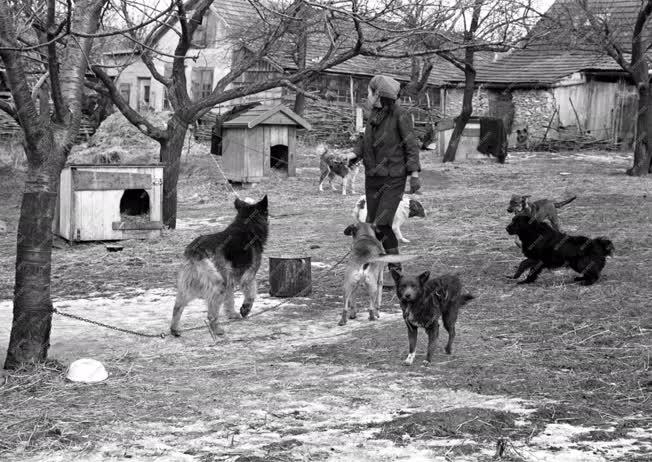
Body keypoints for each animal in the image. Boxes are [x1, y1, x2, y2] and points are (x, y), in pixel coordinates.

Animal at [171, 195, 270, 336]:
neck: (246, 224)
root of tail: (195, 250)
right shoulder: (248, 275)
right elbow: (251, 293)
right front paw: (245, 309)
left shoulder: (231, 280)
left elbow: (230, 300)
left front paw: (232, 314)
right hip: (218, 284)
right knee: (211, 314)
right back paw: (217, 330)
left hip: (192, 285)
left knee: (177, 306)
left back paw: (174, 329)